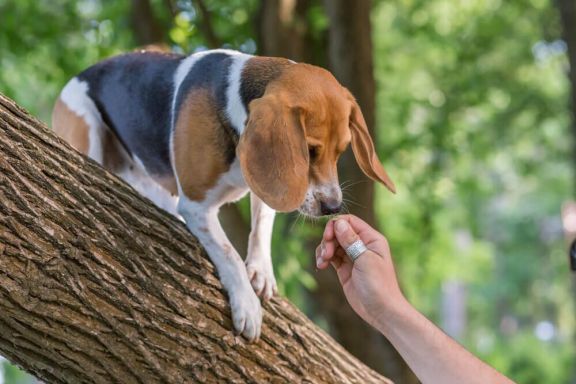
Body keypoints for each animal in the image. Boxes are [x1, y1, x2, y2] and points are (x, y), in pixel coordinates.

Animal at [53, 48, 396, 342]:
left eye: (342, 150)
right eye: (310, 151)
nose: (332, 206)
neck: (234, 107)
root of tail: (77, 77)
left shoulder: (262, 184)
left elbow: (262, 224)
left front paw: (261, 270)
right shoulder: (195, 205)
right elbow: (228, 252)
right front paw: (246, 303)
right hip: (87, 129)